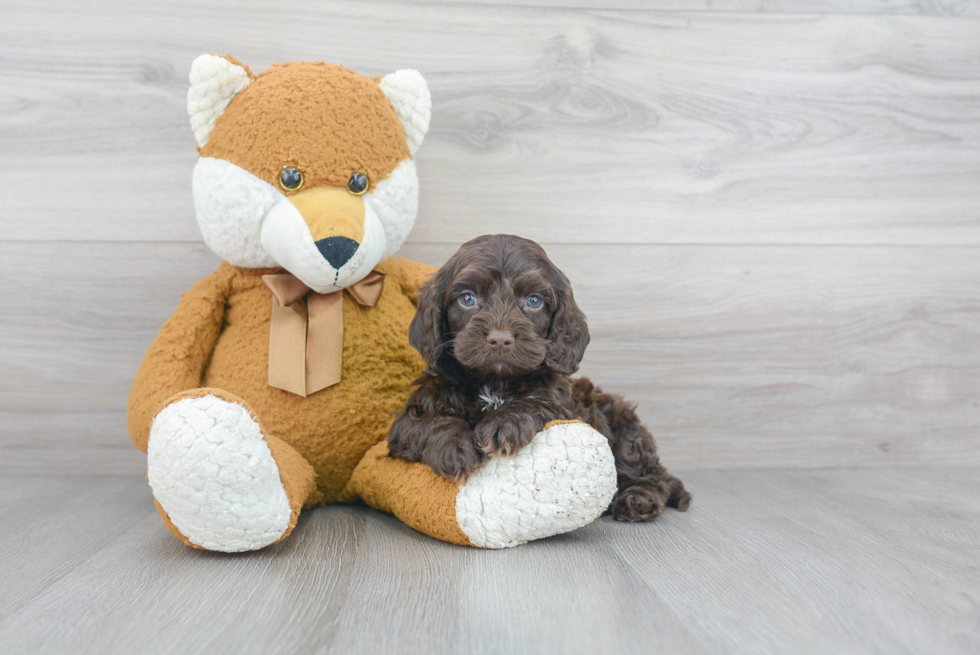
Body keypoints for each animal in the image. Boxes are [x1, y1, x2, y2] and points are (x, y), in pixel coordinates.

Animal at [386, 236, 692, 524]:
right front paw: (454, 447)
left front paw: (505, 423)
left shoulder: (566, 407)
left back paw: (639, 500)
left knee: (650, 472)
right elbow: (427, 422)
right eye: (468, 298)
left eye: (533, 301)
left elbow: (537, 403)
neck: (494, 382)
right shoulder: (409, 417)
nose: (500, 339)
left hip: (623, 425)